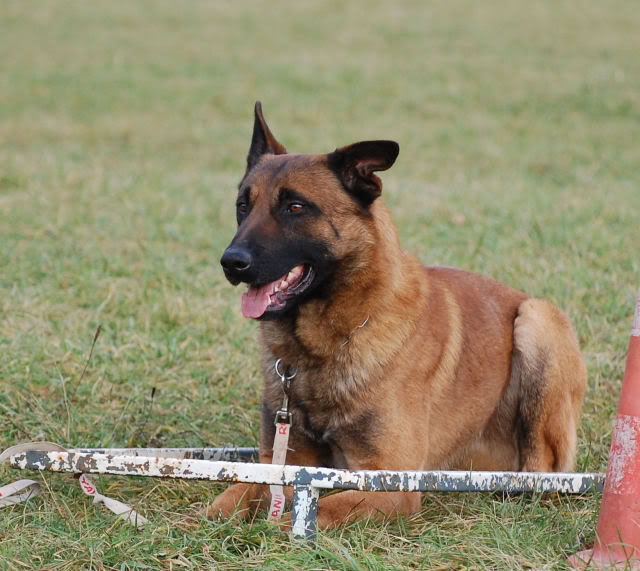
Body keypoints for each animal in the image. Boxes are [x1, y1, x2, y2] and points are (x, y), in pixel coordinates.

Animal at [208, 104, 588, 532]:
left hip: (537, 321)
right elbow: (225, 501)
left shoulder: (389, 483)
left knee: (544, 473)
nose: (231, 262)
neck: (323, 347)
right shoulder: (282, 462)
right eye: (243, 206)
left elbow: (320, 510)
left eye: (295, 207)